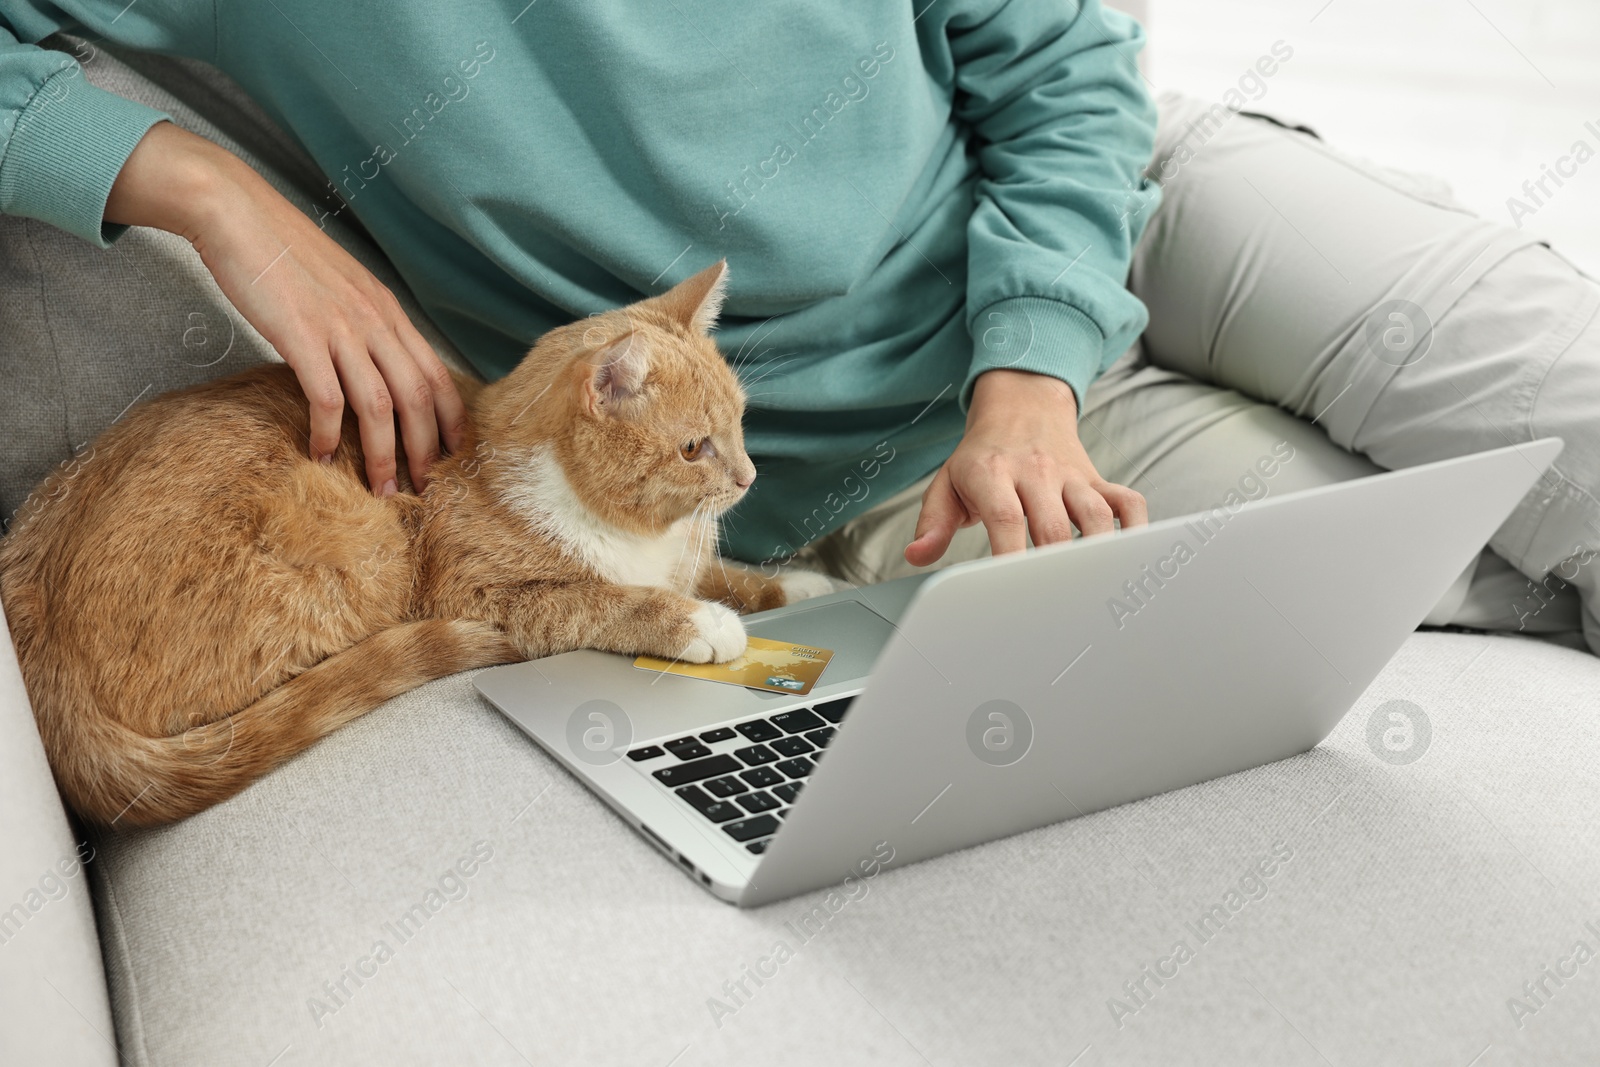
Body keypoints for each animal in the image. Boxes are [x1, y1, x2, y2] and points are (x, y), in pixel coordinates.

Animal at [0, 262, 825, 831]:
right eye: (693, 447)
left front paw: (806, 586)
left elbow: (727, 573)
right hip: (370, 548)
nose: (749, 475)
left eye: (741, 423)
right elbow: (608, 601)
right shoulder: (489, 595)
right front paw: (700, 622)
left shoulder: (683, 558)